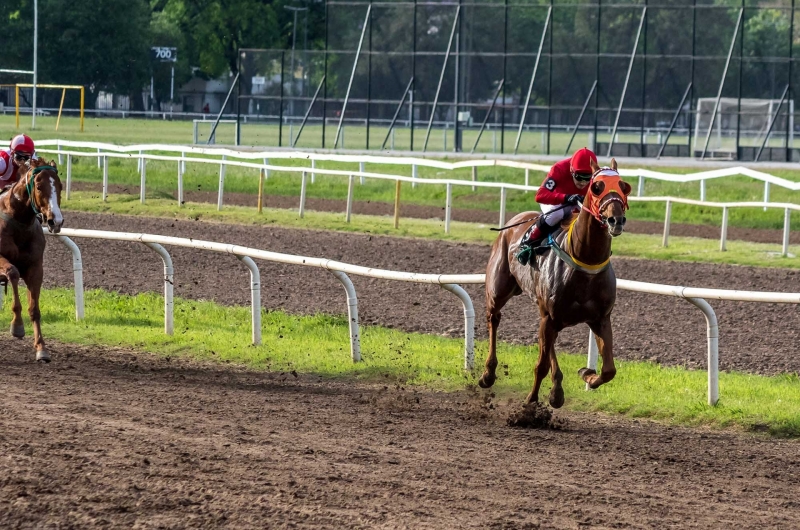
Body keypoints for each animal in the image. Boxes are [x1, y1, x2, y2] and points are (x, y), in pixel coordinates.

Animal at [0, 157, 64, 360]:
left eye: (60, 185)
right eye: (38, 186)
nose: (55, 221)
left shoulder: (36, 267)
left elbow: (34, 309)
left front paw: (41, 348)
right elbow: (12, 272)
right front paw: (17, 326)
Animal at [482, 157, 632, 404]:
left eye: (623, 186)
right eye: (596, 187)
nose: (615, 220)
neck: (585, 264)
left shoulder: (600, 318)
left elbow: (609, 370)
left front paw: (587, 374)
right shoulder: (551, 317)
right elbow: (540, 365)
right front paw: (530, 402)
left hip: (548, 312)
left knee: (548, 341)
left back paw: (557, 390)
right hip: (499, 289)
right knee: (494, 318)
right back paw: (488, 373)